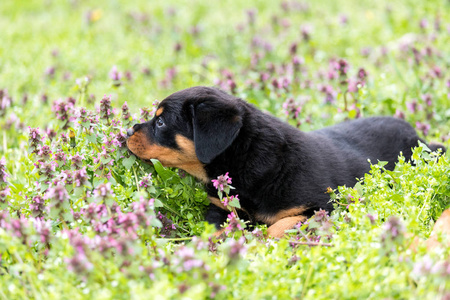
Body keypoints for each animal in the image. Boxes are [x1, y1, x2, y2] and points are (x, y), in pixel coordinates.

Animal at [126, 85, 442, 238]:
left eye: (161, 122)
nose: (127, 131)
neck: (244, 161)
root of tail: (420, 138)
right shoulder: (220, 208)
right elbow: (216, 226)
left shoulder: (324, 206)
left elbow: (281, 224)